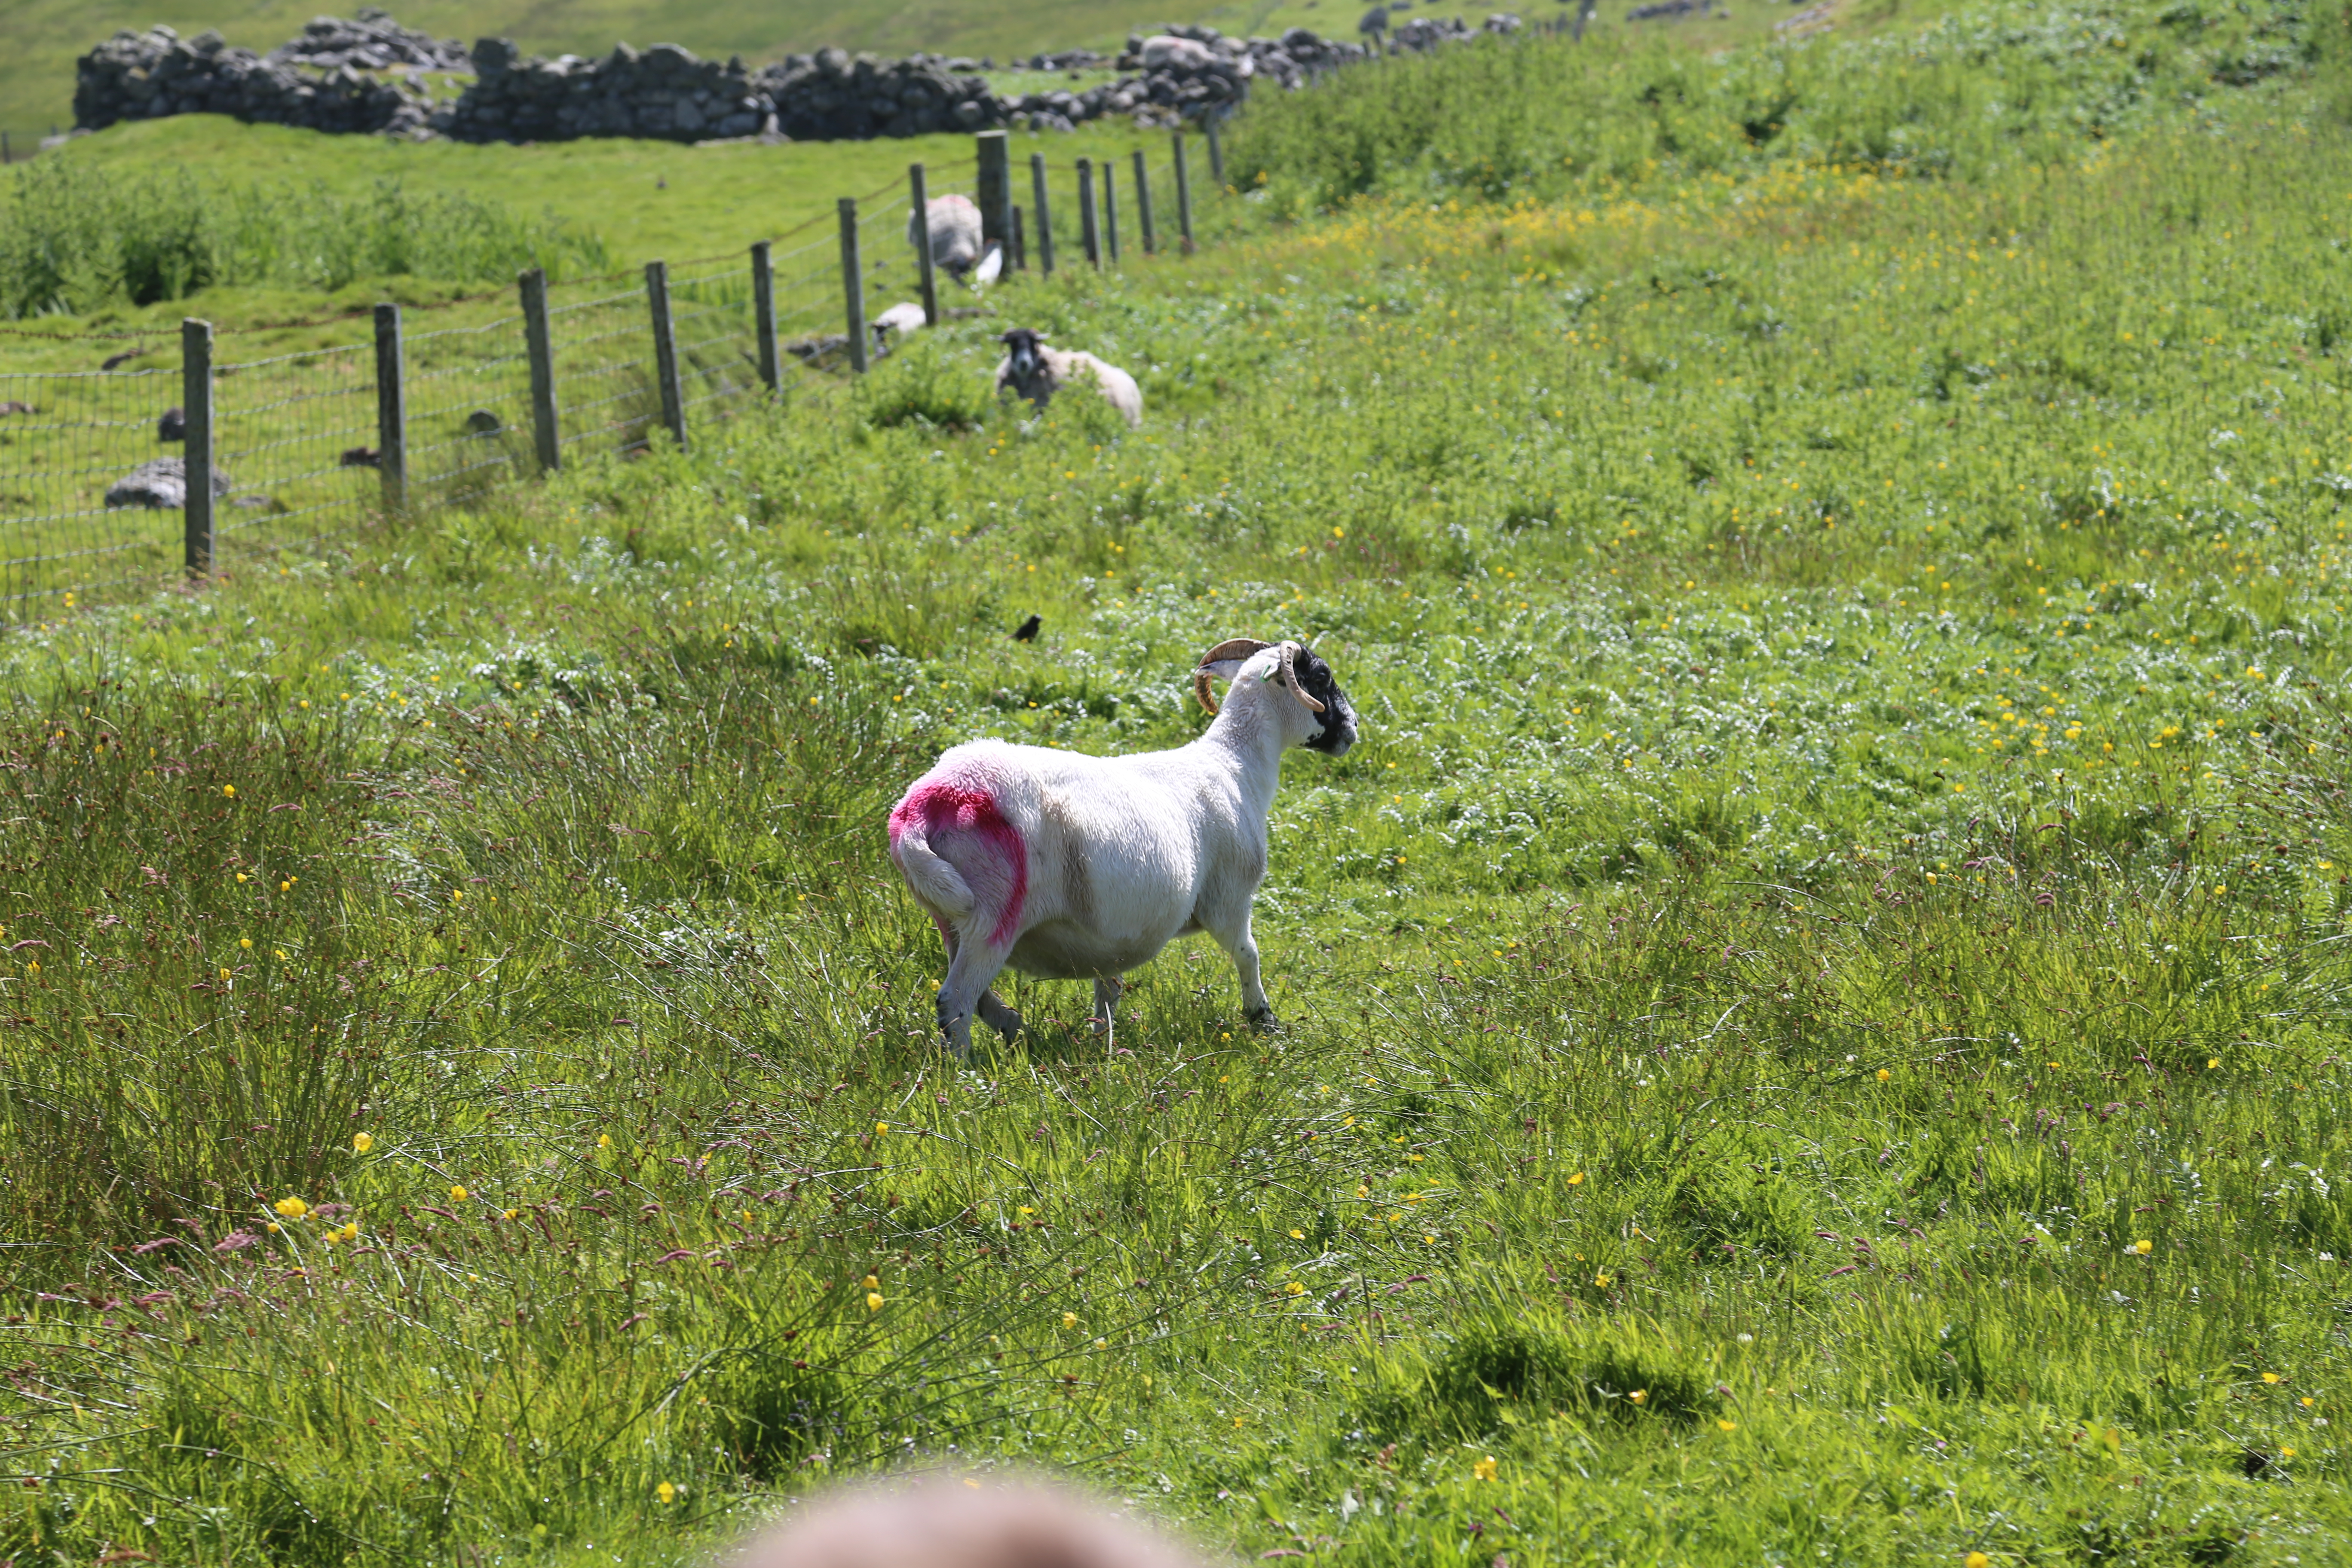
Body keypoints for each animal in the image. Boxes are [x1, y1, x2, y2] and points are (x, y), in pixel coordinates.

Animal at [884, 630, 1364, 1063]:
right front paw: (1263, 1021)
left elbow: (1108, 987)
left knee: (975, 995)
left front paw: (1104, 1043)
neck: (1235, 764)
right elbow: (1249, 955)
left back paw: (1016, 1028)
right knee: (956, 999)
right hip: (993, 913)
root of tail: (926, 802)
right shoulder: (1228, 895)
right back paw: (966, 1073)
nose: (1354, 728)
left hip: (952, 920)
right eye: (1321, 676)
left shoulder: (1108, 935)